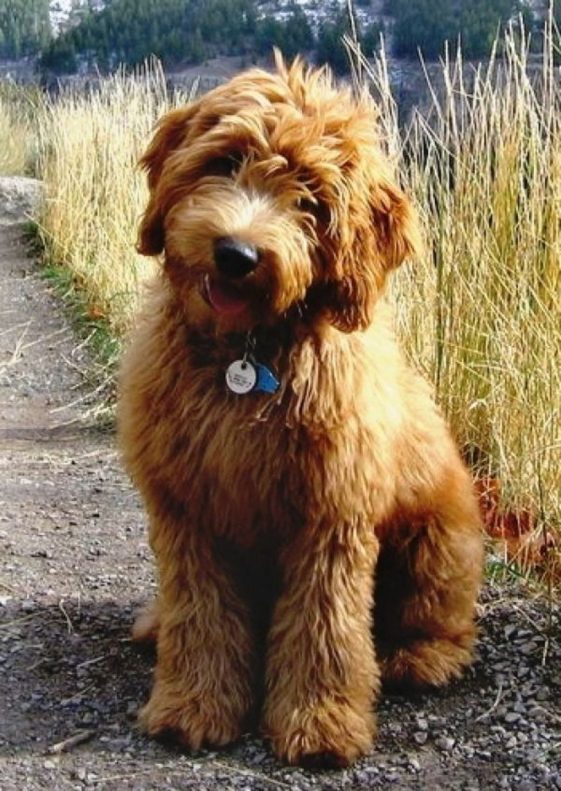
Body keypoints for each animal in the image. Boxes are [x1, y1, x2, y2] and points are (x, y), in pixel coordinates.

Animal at [117, 54, 482, 768]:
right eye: (226, 161)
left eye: (310, 198)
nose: (237, 254)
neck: (247, 357)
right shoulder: (188, 511)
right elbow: (200, 612)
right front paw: (192, 706)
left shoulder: (330, 515)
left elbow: (325, 625)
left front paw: (320, 724)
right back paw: (154, 624)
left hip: (438, 541)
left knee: (442, 620)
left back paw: (418, 658)